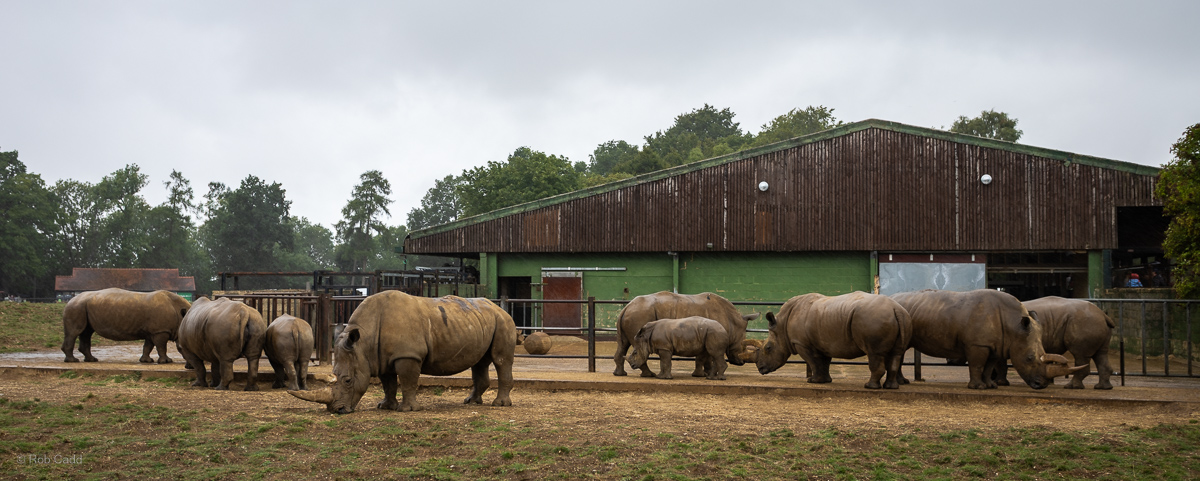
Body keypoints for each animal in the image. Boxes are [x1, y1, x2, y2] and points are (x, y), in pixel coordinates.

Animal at [61, 288, 191, 364]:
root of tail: (71, 299)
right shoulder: (160, 331)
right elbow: (161, 346)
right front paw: (166, 361)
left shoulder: (152, 331)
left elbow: (148, 346)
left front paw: (146, 361)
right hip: (76, 307)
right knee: (75, 332)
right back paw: (73, 361)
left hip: (82, 306)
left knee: (86, 332)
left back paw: (92, 360)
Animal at [290, 291, 516, 414]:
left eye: (347, 380)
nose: (337, 410)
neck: (363, 342)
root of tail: (499, 308)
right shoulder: (379, 357)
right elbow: (388, 383)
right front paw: (386, 406)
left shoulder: (408, 355)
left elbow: (407, 381)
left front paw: (407, 410)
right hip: (481, 320)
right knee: (480, 362)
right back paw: (471, 402)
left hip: (503, 321)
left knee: (501, 360)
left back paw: (500, 405)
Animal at [614, 291, 758, 378]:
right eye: (743, 346)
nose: (742, 362)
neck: (733, 322)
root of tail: (626, 307)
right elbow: (706, 357)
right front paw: (704, 374)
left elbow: (705, 356)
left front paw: (705, 374)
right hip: (639, 315)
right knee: (637, 346)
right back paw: (650, 375)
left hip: (633, 314)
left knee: (623, 344)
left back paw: (620, 374)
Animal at [756, 292, 912, 389]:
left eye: (768, 348)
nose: (760, 368)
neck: (781, 325)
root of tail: (896, 308)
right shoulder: (824, 342)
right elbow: (824, 362)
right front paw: (825, 381)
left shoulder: (801, 343)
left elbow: (813, 361)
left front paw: (813, 381)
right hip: (904, 318)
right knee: (896, 354)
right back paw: (891, 387)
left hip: (873, 319)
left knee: (874, 353)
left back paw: (869, 386)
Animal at [891, 289, 1085, 390]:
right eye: (1029, 358)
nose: (1041, 385)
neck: (1013, 324)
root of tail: (892, 297)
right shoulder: (977, 344)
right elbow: (977, 365)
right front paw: (977, 387)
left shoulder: (996, 345)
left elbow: (989, 366)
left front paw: (991, 385)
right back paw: (902, 383)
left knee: (901, 349)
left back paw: (903, 382)